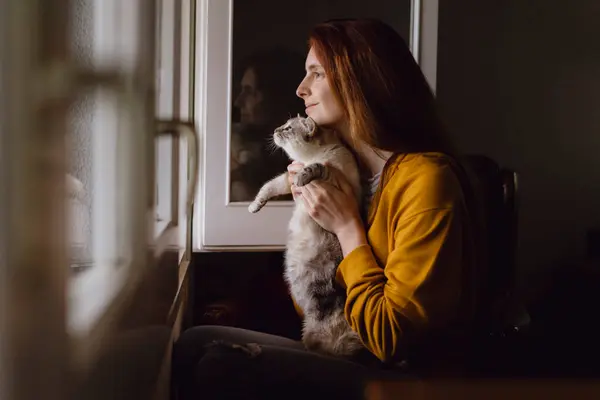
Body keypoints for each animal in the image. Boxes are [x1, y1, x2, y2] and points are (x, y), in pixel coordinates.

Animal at [246, 114, 364, 358]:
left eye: (287, 128)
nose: (275, 130)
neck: (309, 156)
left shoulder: (335, 178)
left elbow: (316, 168)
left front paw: (304, 176)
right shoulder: (286, 178)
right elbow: (268, 187)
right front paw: (254, 206)